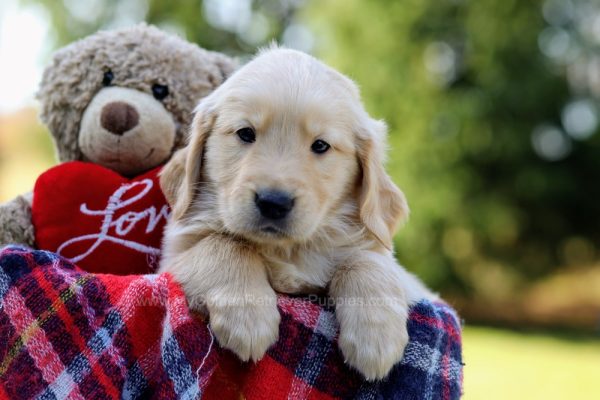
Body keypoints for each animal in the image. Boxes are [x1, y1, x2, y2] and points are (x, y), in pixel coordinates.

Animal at [158, 47, 436, 382]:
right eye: (245, 133)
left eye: (321, 145)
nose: (273, 202)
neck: (288, 250)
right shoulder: (173, 257)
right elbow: (225, 244)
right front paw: (247, 316)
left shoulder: (398, 272)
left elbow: (368, 261)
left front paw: (376, 337)